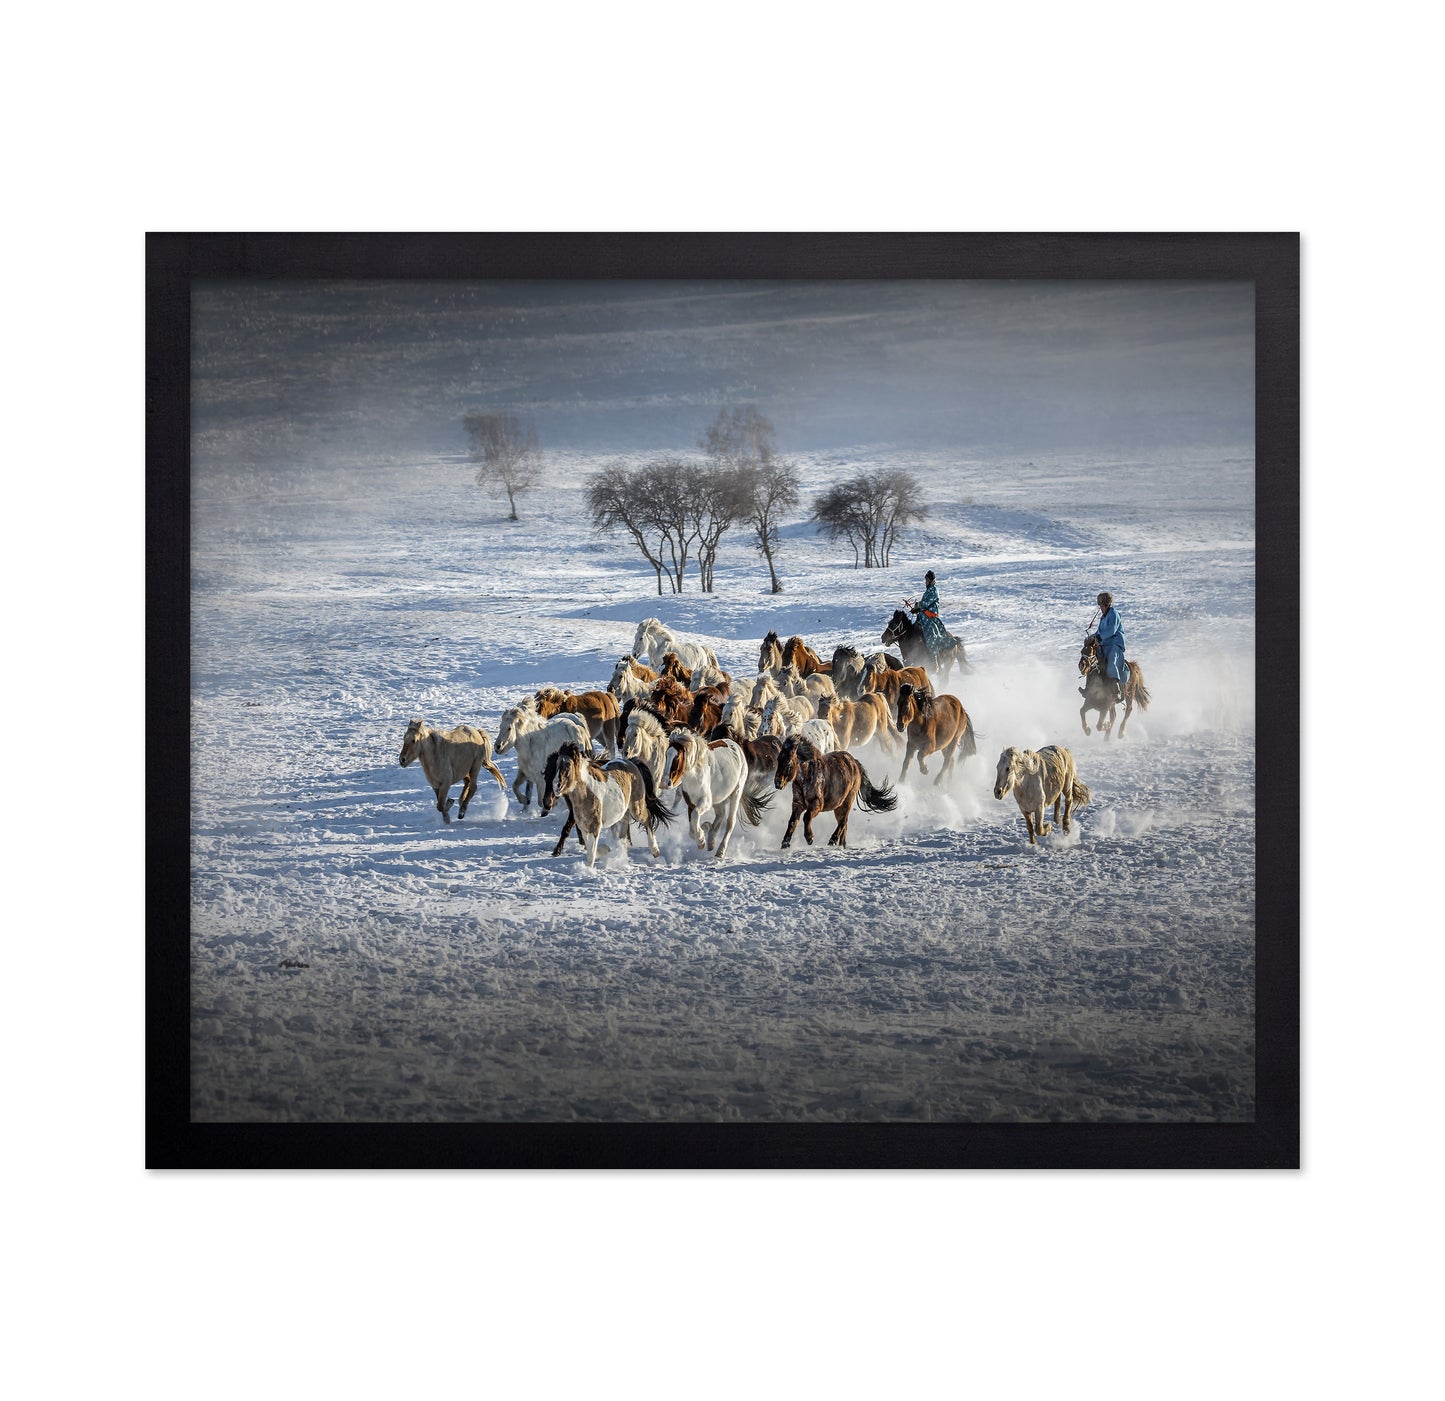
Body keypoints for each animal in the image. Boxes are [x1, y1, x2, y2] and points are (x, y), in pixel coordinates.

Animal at [542, 742, 674, 867]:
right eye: (557, 764)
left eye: (568, 764)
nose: (556, 785)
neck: (586, 793)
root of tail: (631, 763)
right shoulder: (583, 826)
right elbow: (590, 849)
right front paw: (606, 850)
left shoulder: (595, 825)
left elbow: (591, 853)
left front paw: (589, 870)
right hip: (623, 811)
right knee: (624, 828)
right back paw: (621, 850)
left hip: (636, 807)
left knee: (647, 820)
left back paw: (655, 851)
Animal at [664, 730, 762, 859]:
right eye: (666, 755)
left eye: (677, 757)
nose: (666, 782)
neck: (695, 775)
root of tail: (735, 744)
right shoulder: (691, 803)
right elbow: (691, 829)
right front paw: (704, 832)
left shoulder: (705, 801)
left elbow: (695, 817)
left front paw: (701, 839)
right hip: (719, 798)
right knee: (720, 815)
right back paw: (711, 839)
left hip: (736, 792)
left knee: (730, 822)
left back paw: (720, 851)